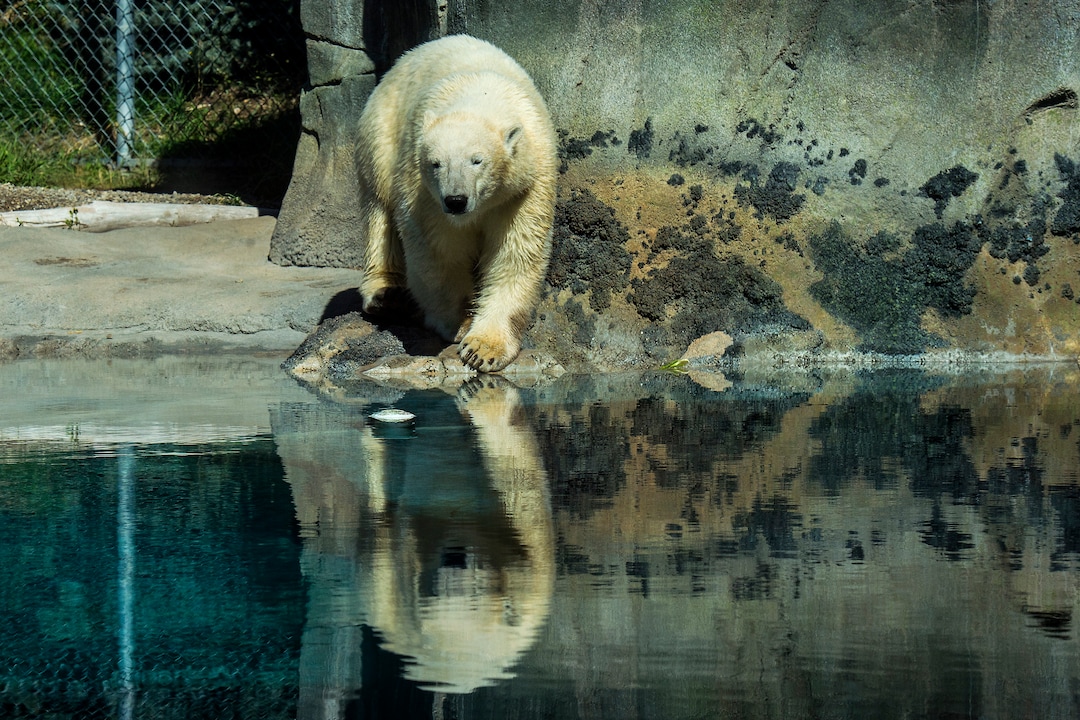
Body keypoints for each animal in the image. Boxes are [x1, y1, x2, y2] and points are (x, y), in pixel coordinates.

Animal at [354, 34, 558, 373]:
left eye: (477, 160)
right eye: (436, 163)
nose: (456, 201)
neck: (481, 94)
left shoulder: (525, 187)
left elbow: (513, 254)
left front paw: (483, 349)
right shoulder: (424, 192)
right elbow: (440, 252)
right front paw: (460, 323)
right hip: (381, 132)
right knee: (379, 207)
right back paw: (385, 295)